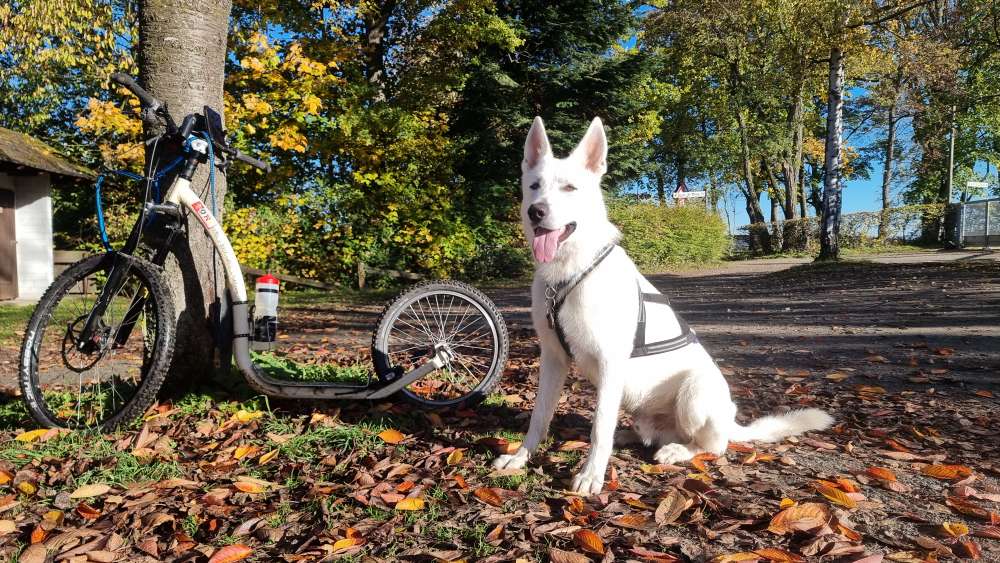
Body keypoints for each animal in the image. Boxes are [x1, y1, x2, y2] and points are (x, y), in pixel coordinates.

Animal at [494, 118, 836, 494]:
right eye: (534, 186)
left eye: (570, 188)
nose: (536, 211)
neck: (572, 271)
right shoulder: (553, 358)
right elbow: (540, 416)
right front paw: (520, 457)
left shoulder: (610, 362)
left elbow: (600, 427)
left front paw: (591, 473)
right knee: (646, 433)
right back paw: (631, 436)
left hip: (695, 391)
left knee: (712, 445)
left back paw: (678, 450)